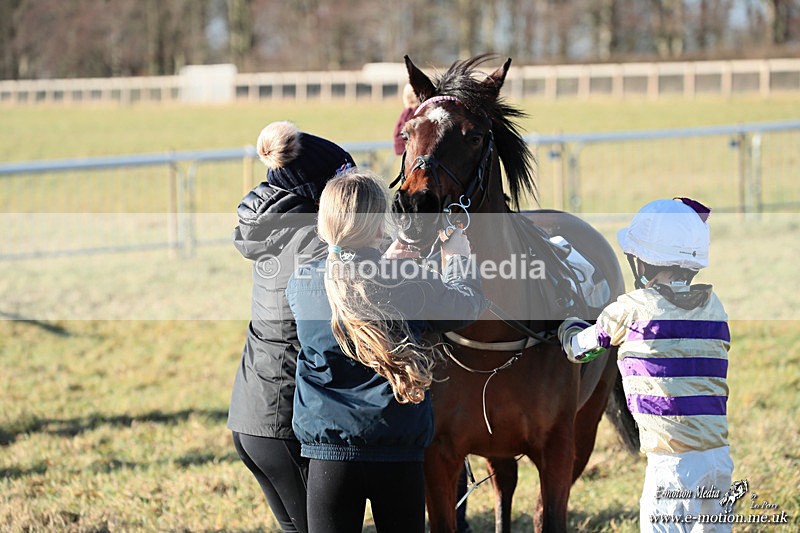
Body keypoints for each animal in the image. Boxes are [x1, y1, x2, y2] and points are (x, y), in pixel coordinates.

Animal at [391, 55, 640, 533]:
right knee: (504, 483)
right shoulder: (440, 453)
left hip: (586, 421)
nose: (415, 207)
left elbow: (549, 512)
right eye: (409, 132)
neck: (490, 338)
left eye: (473, 135)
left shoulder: (558, 446)